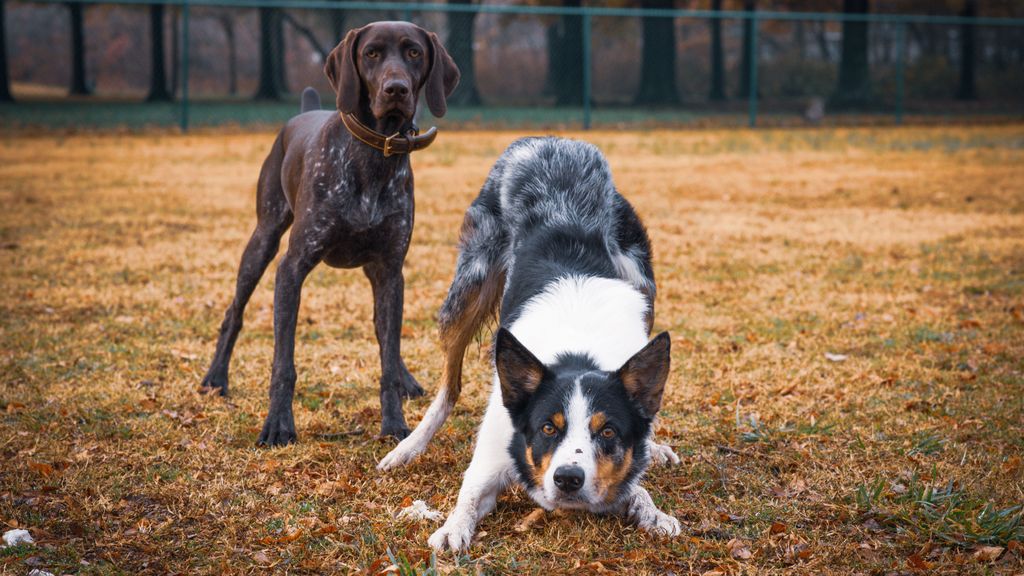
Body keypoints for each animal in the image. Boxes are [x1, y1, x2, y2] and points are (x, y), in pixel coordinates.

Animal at [199, 22, 456, 444]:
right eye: (371, 53)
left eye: (414, 52)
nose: (396, 89)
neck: (374, 155)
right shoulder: (292, 267)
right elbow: (283, 364)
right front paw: (278, 425)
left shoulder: (390, 270)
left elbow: (387, 354)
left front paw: (394, 423)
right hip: (263, 239)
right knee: (233, 312)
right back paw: (216, 378)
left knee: (384, 334)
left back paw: (405, 378)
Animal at [378, 136, 679, 549]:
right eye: (547, 428)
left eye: (607, 432)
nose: (568, 479)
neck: (577, 349)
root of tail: (553, 141)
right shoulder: (491, 456)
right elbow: (468, 495)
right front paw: (451, 530)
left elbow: (635, 485)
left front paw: (653, 511)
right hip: (470, 285)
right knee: (449, 385)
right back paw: (408, 447)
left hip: (641, 278)